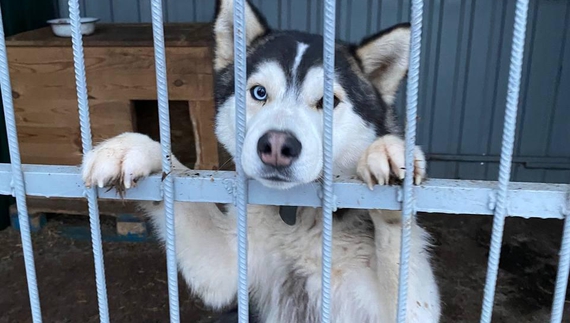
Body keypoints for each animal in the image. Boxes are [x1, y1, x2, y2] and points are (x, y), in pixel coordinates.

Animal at [81, 1, 440, 322]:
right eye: (259, 93)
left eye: (328, 101)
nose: (277, 145)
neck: (298, 217)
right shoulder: (225, 267)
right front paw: (131, 148)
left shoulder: (409, 305)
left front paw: (388, 153)